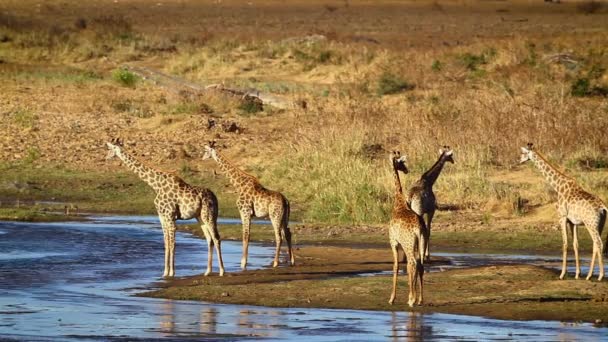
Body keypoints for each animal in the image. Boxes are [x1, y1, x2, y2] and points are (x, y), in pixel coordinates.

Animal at [105, 139, 224, 278]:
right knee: (209, 239)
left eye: (110, 149)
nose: (106, 157)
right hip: (200, 217)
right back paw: (207, 271)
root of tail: (215, 198)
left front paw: (172, 272)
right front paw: (165, 272)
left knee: (216, 238)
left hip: (208, 215)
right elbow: (166, 244)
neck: (156, 185)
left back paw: (222, 271)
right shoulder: (162, 217)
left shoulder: (170, 216)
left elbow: (172, 244)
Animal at [202, 142, 294, 270]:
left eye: (206, 151)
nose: (202, 158)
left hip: (275, 216)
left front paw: (243, 263)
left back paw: (275, 263)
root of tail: (286, 201)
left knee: (278, 236)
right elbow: (248, 235)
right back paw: (292, 261)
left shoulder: (244, 212)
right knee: (288, 233)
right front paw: (243, 262)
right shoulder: (249, 214)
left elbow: (245, 235)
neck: (238, 185)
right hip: (284, 217)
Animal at [520, 143, 604, 280]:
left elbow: (564, 243)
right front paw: (577, 274)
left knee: (598, 243)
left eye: (523, 153)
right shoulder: (572, 222)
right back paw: (589, 275)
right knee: (595, 245)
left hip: (590, 224)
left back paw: (600, 276)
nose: (519, 160)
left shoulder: (562, 217)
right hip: (599, 224)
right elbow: (575, 244)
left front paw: (562, 274)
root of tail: (603, 208)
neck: (558, 186)